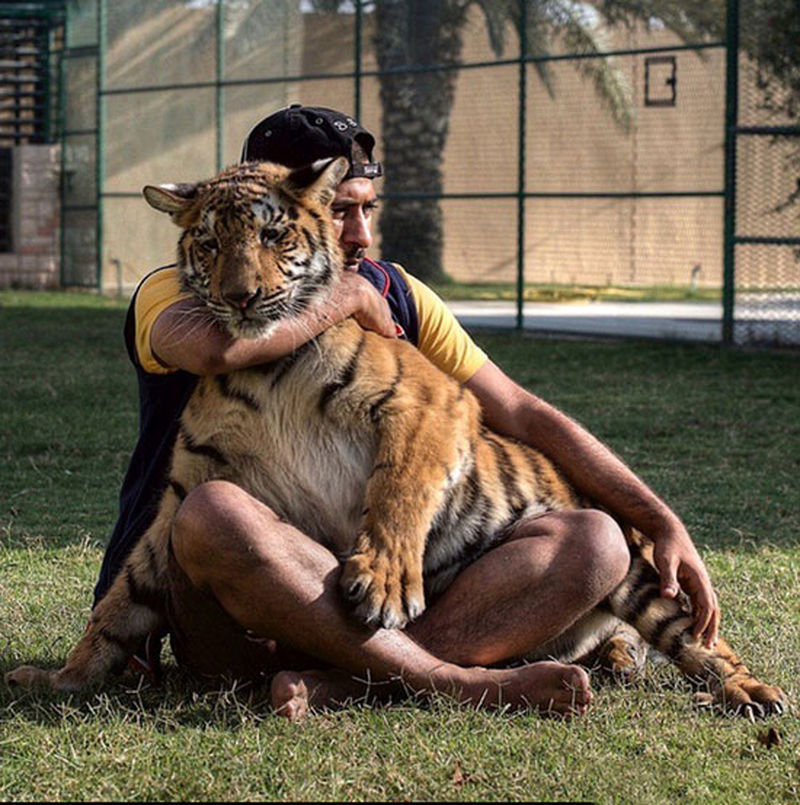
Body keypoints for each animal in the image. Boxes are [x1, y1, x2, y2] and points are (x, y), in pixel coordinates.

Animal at [3, 157, 784, 716]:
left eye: (272, 234)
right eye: (210, 241)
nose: (238, 297)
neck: (262, 363)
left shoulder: (431, 400)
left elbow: (399, 488)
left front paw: (382, 580)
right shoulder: (187, 488)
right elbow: (121, 600)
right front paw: (63, 676)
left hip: (634, 572)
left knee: (686, 631)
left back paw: (749, 691)